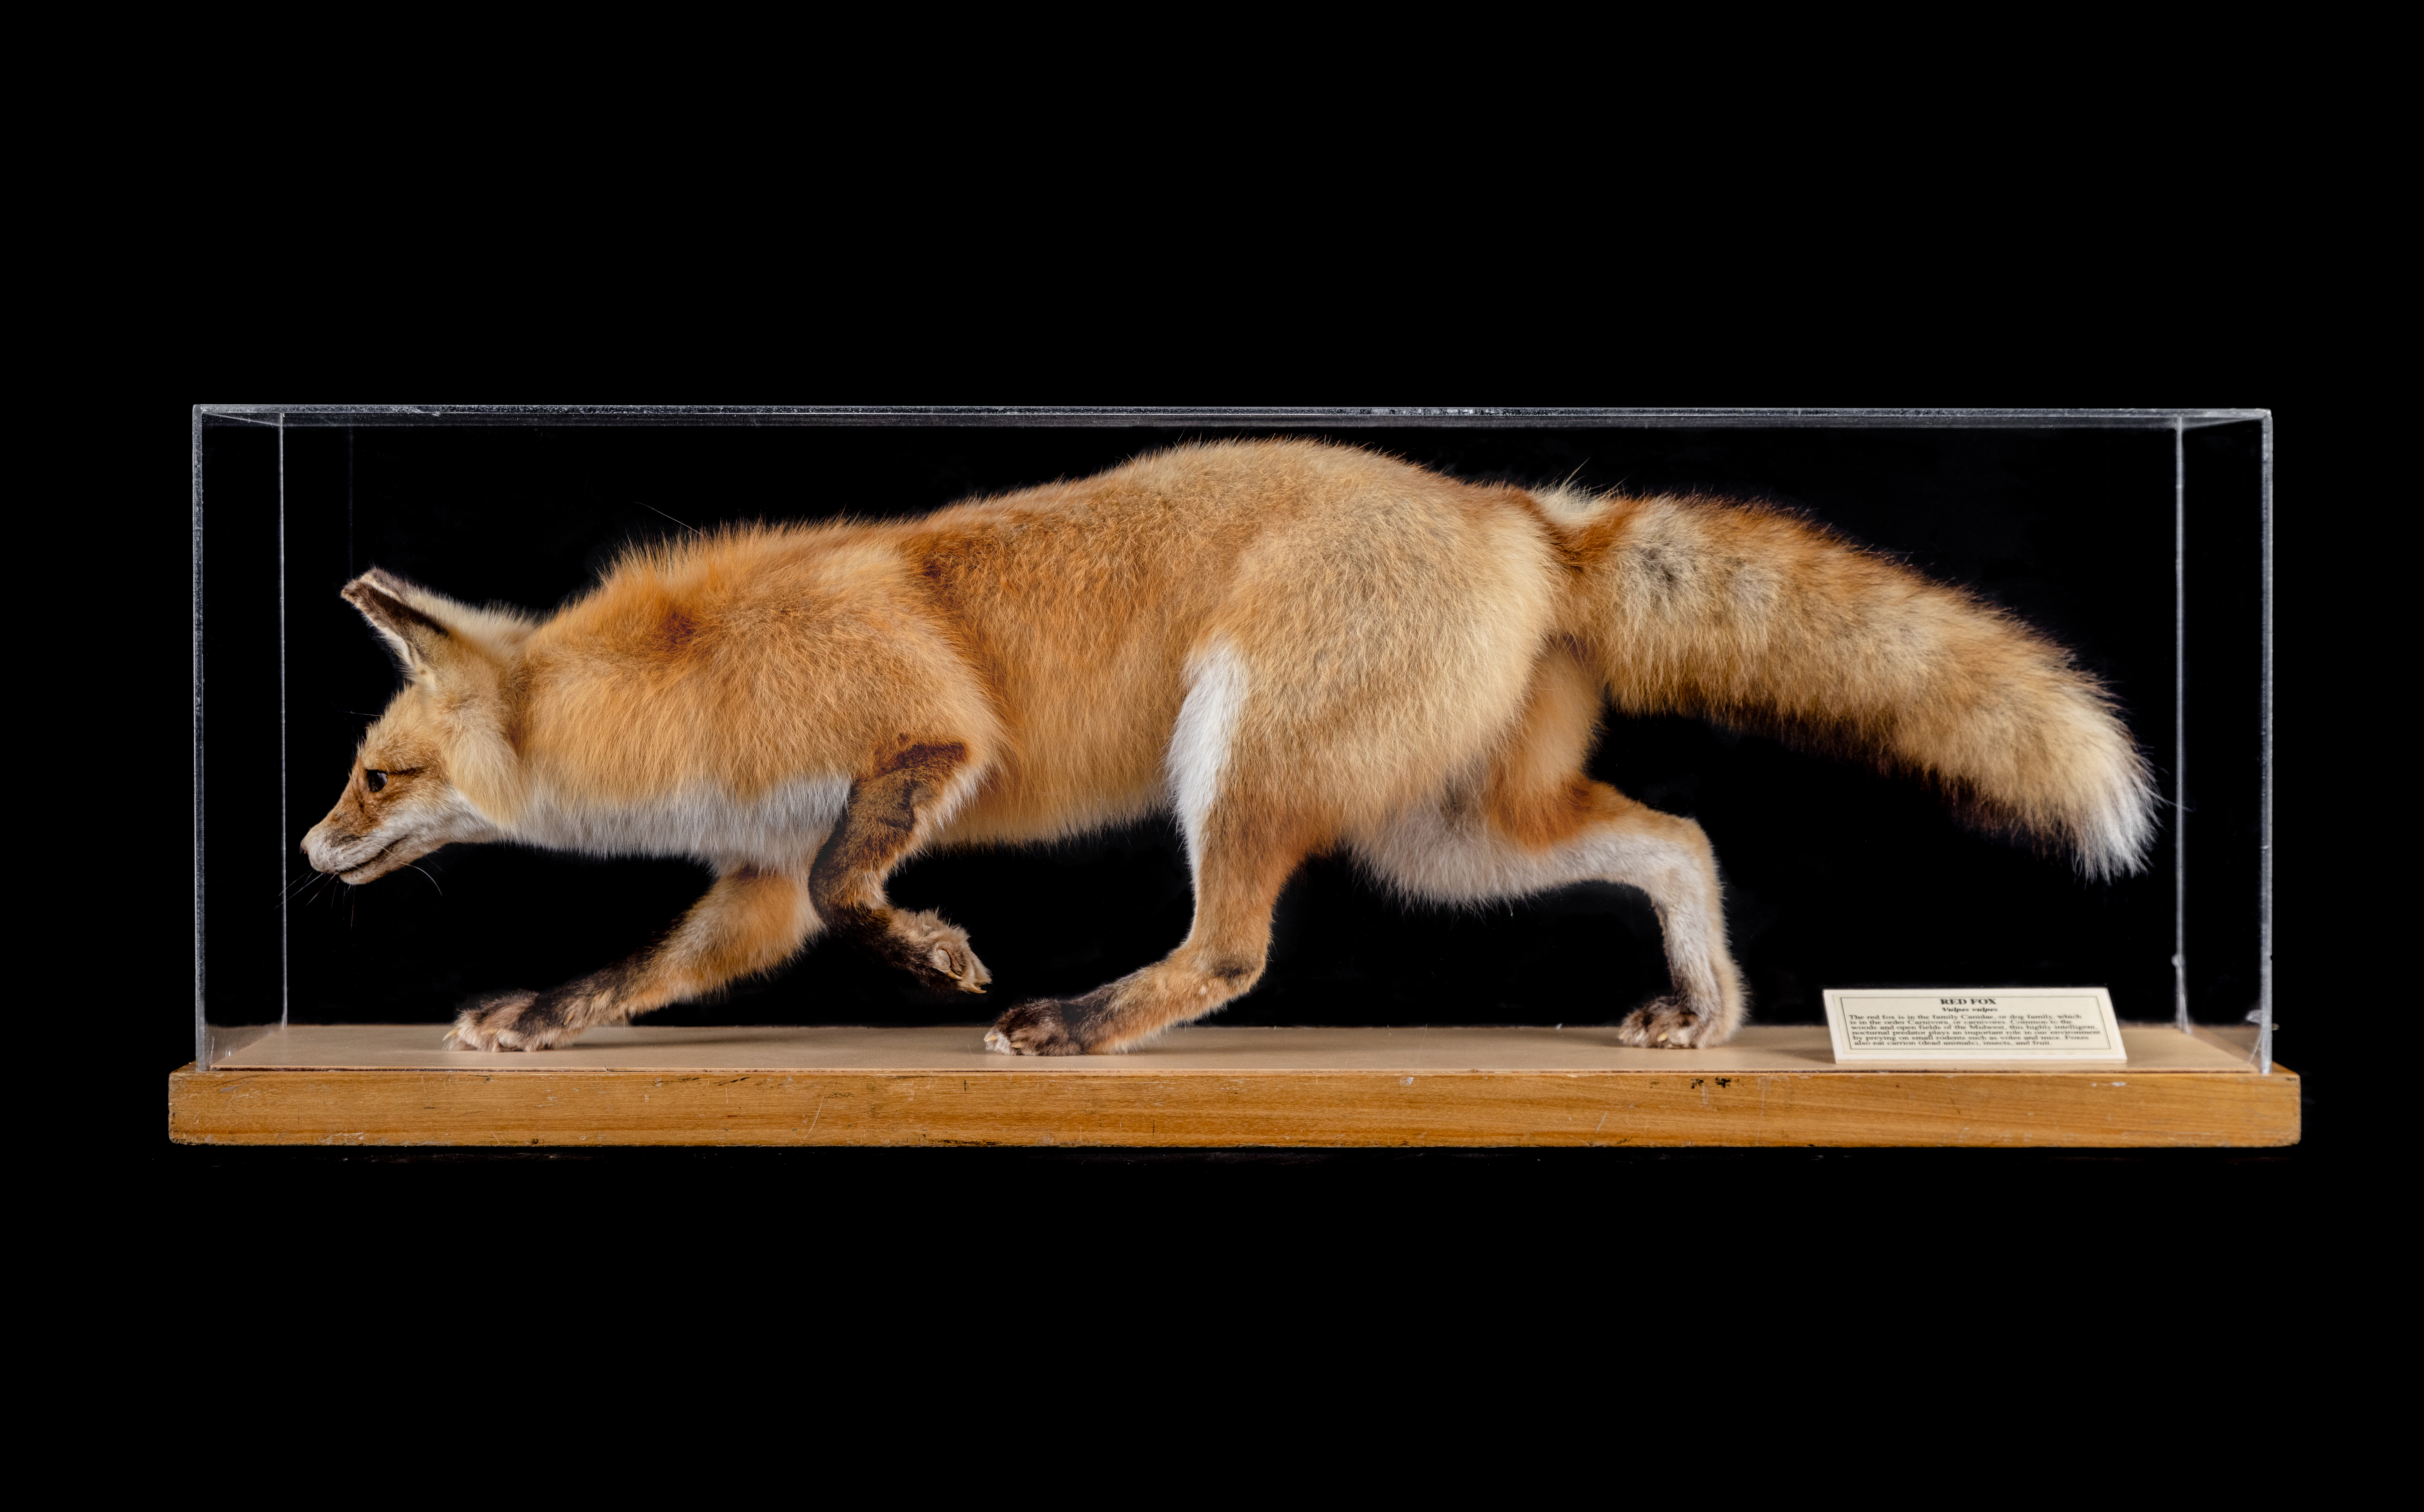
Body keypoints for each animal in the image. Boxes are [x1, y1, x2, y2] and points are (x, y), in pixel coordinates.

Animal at [308, 434, 2162, 1052]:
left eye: (377, 773)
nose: (310, 848)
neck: (679, 689)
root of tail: (1511, 508)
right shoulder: (752, 872)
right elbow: (656, 962)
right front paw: (531, 1017)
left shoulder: (923, 735)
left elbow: (855, 888)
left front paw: (943, 954)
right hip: (1441, 842)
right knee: (1679, 839)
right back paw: (1704, 1011)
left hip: (1240, 762)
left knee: (1231, 953)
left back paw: (1079, 1022)